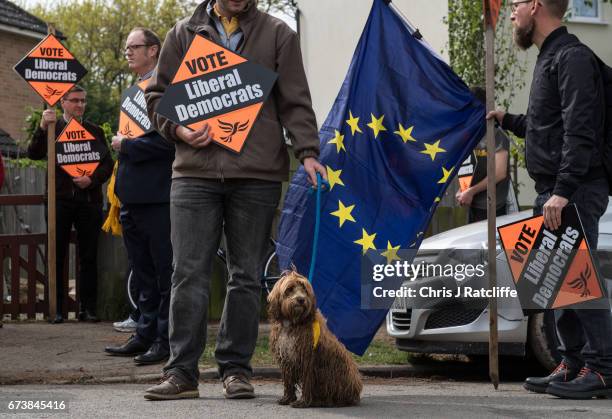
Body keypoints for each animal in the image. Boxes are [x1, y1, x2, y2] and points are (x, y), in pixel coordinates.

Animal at [268, 270, 364, 408]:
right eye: (289, 289)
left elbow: (307, 381)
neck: (293, 323)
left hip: (331, 374)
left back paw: (322, 401)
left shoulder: (308, 360)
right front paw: (287, 398)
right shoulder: (286, 358)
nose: (301, 299)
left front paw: (302, 402)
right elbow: (288, 381)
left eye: (304, 289)